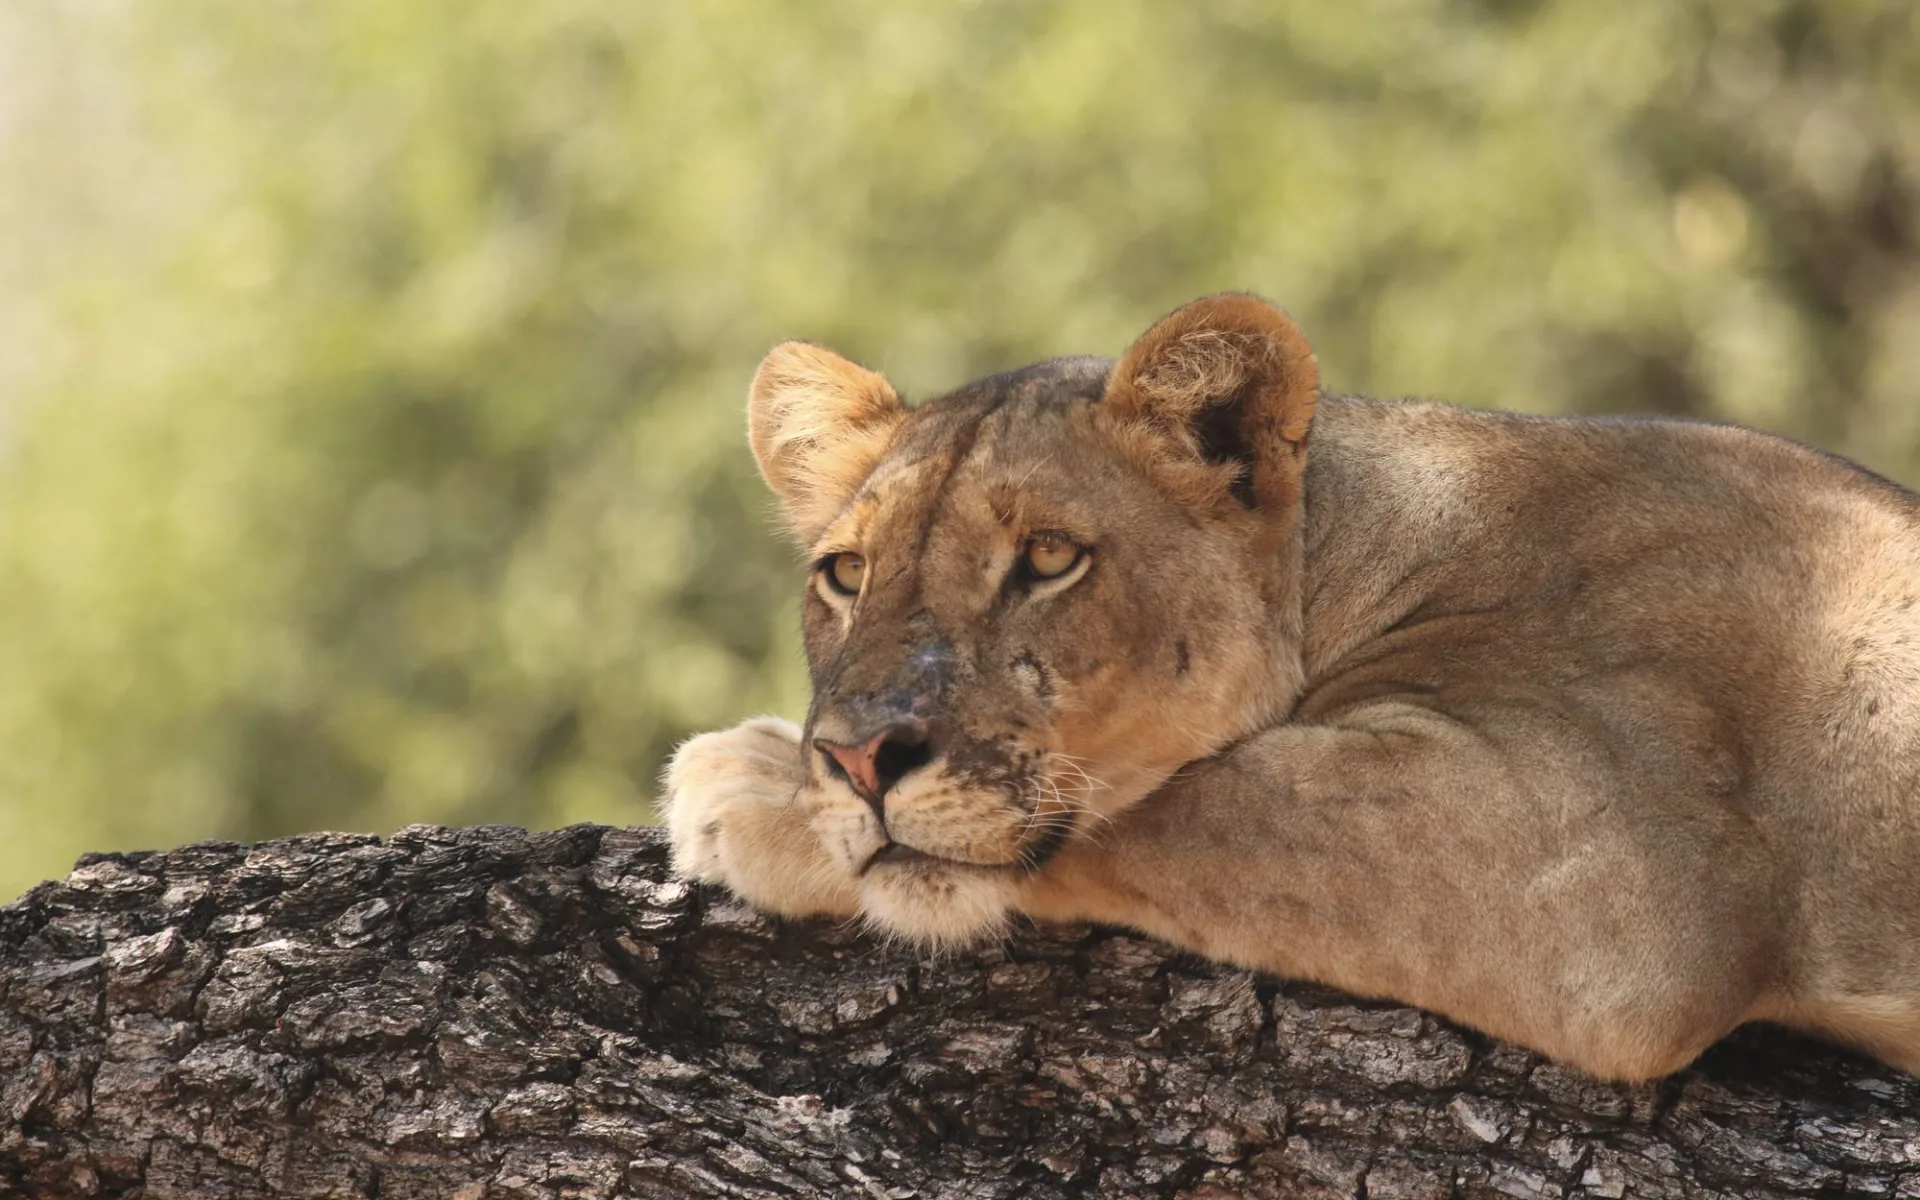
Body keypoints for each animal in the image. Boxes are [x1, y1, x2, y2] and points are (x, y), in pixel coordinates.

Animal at [662, 293, 1920, 1082]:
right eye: (846, 574)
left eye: (1049, 559)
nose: (856, 759)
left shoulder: (1621, 875)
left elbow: (1188, 802)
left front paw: (751, 787)